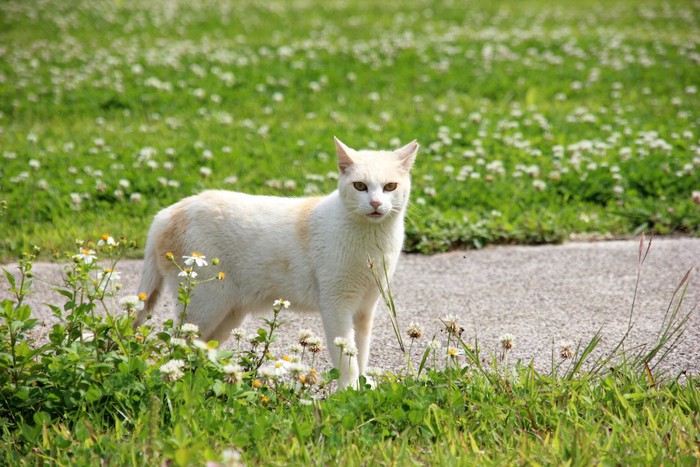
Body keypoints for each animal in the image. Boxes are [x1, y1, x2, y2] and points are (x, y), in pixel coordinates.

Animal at [136, 137, 418, 390]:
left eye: (390, 187)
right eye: (360, 186)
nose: (375, 203)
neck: (372, 241)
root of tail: (167, 212)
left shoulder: (365, 308)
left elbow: (361, 352)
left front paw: (362, 384)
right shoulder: (337, 306)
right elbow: (346, 355)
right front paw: (349, 390)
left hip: (228, 315)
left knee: (202, 349)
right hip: (205, 308)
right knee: (177, 346)